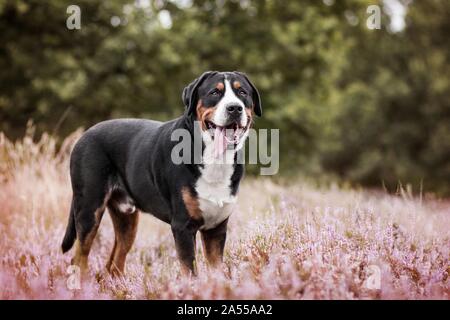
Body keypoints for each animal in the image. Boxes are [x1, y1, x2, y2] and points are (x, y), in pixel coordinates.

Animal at [61, 70, 262, 276]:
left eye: (242, 92)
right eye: (215, 92)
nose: (234, 108)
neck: (215, 160)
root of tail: (85, 134)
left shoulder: (216, 228)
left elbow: (216, 271)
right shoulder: (183, 227)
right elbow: (190, 271)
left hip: (126, 218)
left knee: (114, 263)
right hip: (89, 208)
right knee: (79, 258)